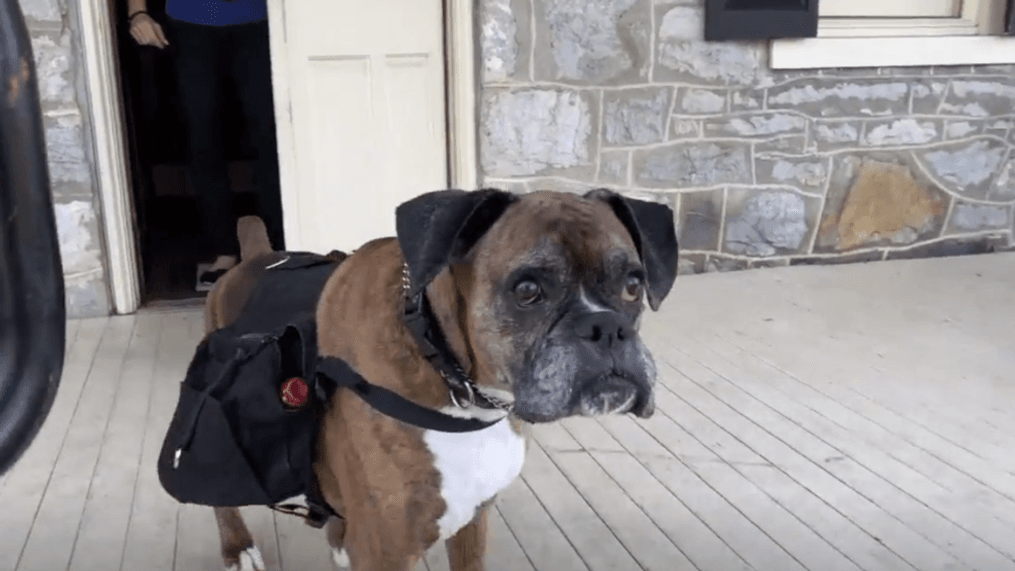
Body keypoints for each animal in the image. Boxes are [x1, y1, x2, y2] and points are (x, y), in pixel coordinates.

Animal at [206, 188, 678, 571]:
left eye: (633, 285)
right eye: (527, 290)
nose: (607, 328)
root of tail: (258, 257)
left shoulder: (473, 518)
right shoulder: (387, 552)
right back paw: (237, 548)